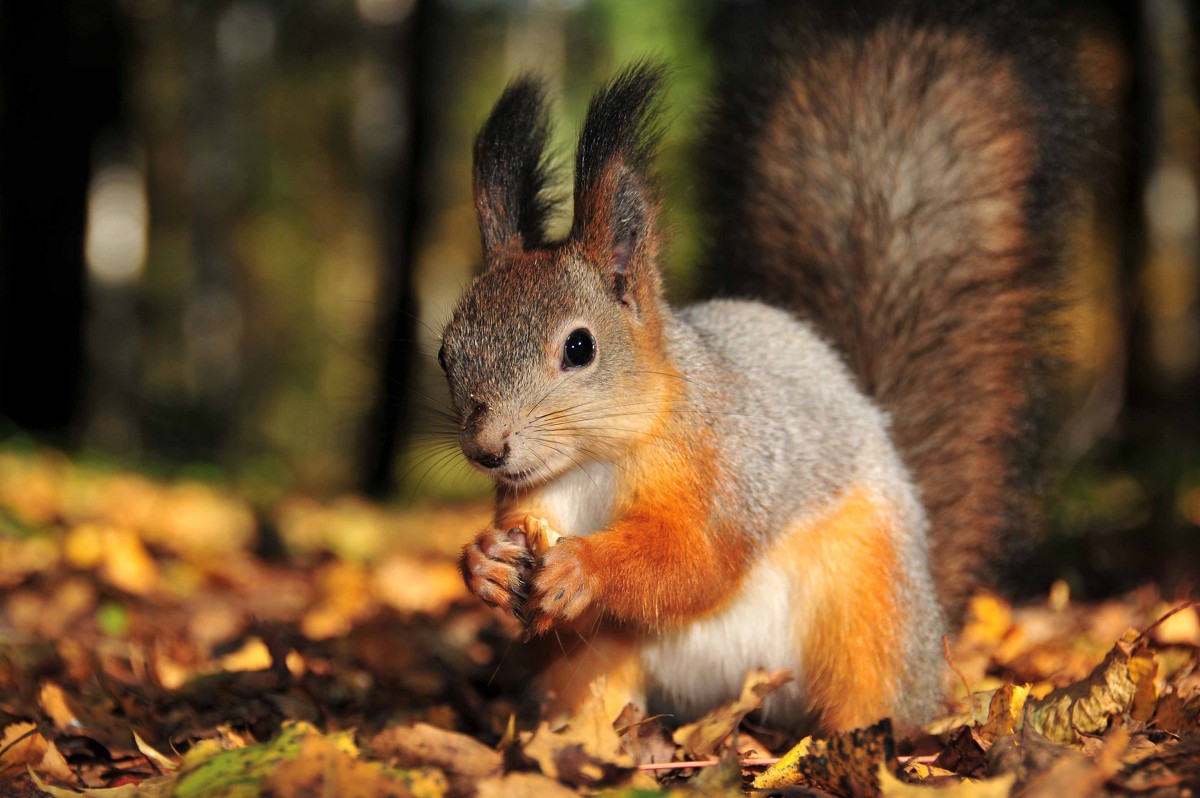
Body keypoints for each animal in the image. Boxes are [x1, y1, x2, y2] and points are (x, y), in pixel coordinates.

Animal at [439, 3, 1080, 729]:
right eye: (446, 352)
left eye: (579, 348)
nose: (487, 449)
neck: (595, 460)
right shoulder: (531, 500)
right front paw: (484, 562)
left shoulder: (727, 469)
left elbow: (695, 560)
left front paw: (584, 568)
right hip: (591, 658)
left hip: (866, 598)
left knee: (870, 686)